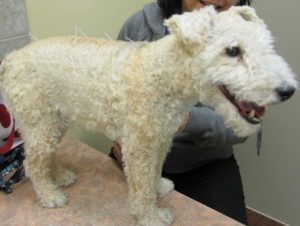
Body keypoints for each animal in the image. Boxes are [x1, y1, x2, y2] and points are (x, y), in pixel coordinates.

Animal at [0, 6, 296, 225]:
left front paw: (158, 188)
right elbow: (141, 186)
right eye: (233, 50)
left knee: (42, 157)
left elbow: (154, 171)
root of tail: (10, 59)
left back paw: (60, 176)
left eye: (267, 46)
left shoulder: (161, 138)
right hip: (40, 123)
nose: (288, 90)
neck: (165, 73)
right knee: (33, 163)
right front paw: (151, 216)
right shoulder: (139, 146)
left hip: (52, 122)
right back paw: (51, 195)